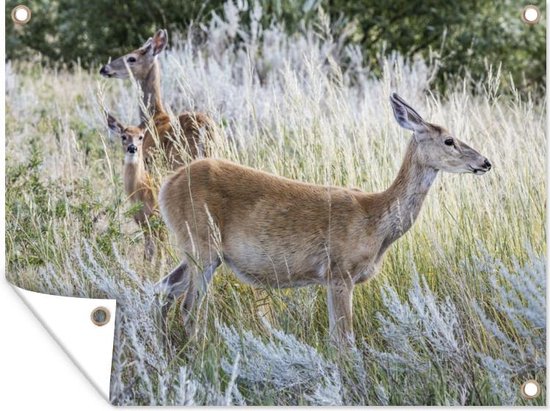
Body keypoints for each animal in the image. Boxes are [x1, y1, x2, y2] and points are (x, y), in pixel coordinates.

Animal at [106, 113, 161, 260]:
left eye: (141, 136)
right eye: (123, 136)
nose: (132, 148)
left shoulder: (157, 218)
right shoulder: (142, 222)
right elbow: (148, 253)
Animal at [153, 93, 494, 344]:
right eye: (448, 140)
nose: (485, 162)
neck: (375, 222)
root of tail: (167, 185)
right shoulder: (339, 271)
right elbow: (344, 340)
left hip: (196, 251)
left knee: (162, 290)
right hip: (202, 245)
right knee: (188, 307)